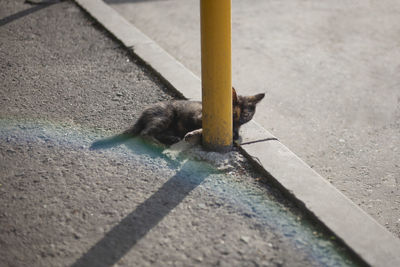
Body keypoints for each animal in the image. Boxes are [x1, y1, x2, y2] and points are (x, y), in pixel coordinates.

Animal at [122, 87, 266, 147]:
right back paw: (157, 144)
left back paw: (172, 138)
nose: (239, 119)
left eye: (246, 114)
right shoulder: (199, 116)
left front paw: (193, 134)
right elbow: (207, 127)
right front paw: (193, 133)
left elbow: (234, 134)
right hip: (165, 116)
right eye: (233, 113)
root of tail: (144, 112)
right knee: (144, 133)